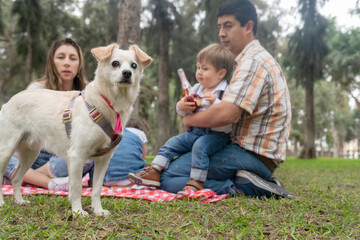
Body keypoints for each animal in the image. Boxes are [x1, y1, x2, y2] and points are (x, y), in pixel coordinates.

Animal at [0, 43, 152, 218]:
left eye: (134, 65)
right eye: (115, 63)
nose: (127, 73)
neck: (109, 104)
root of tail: (10, 100)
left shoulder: (103, 159)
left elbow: (96, 189)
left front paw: (98, 210)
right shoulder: (77, 155)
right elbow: (77, 187)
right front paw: (78, 212)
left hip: (31, 153)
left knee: (16, 177)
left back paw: (19, 200)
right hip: (6, 149)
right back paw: (1, 202)